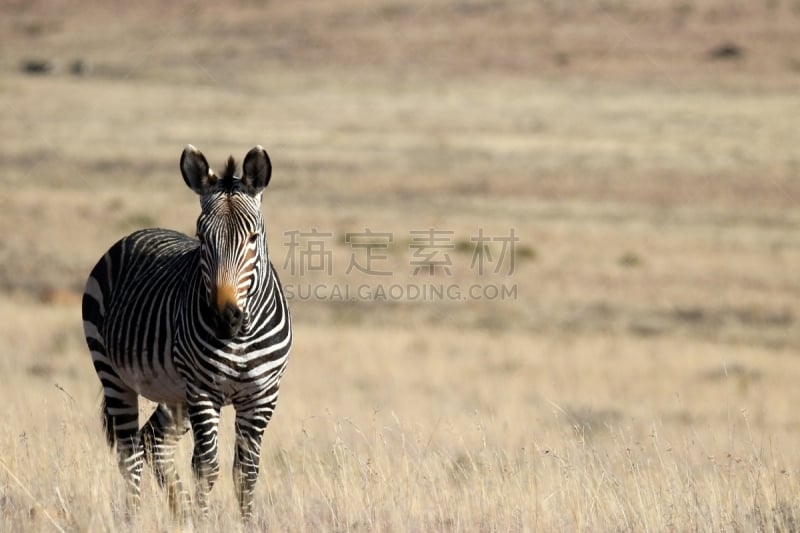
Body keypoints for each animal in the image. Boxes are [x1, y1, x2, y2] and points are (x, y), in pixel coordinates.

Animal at [81, 145, 292, 520]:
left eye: (253, 238)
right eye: (202, 238)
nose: (224, 318)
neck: (240, 336)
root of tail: (138, 233)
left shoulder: (263, 394)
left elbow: (247, 472)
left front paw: (243, 523)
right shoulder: (204, 391)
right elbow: (206, 466)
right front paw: (204, 522)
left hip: (175, 394)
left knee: (152, 441)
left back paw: (181, 514)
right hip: (115, 375)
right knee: (129, 452)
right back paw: (133, 519)